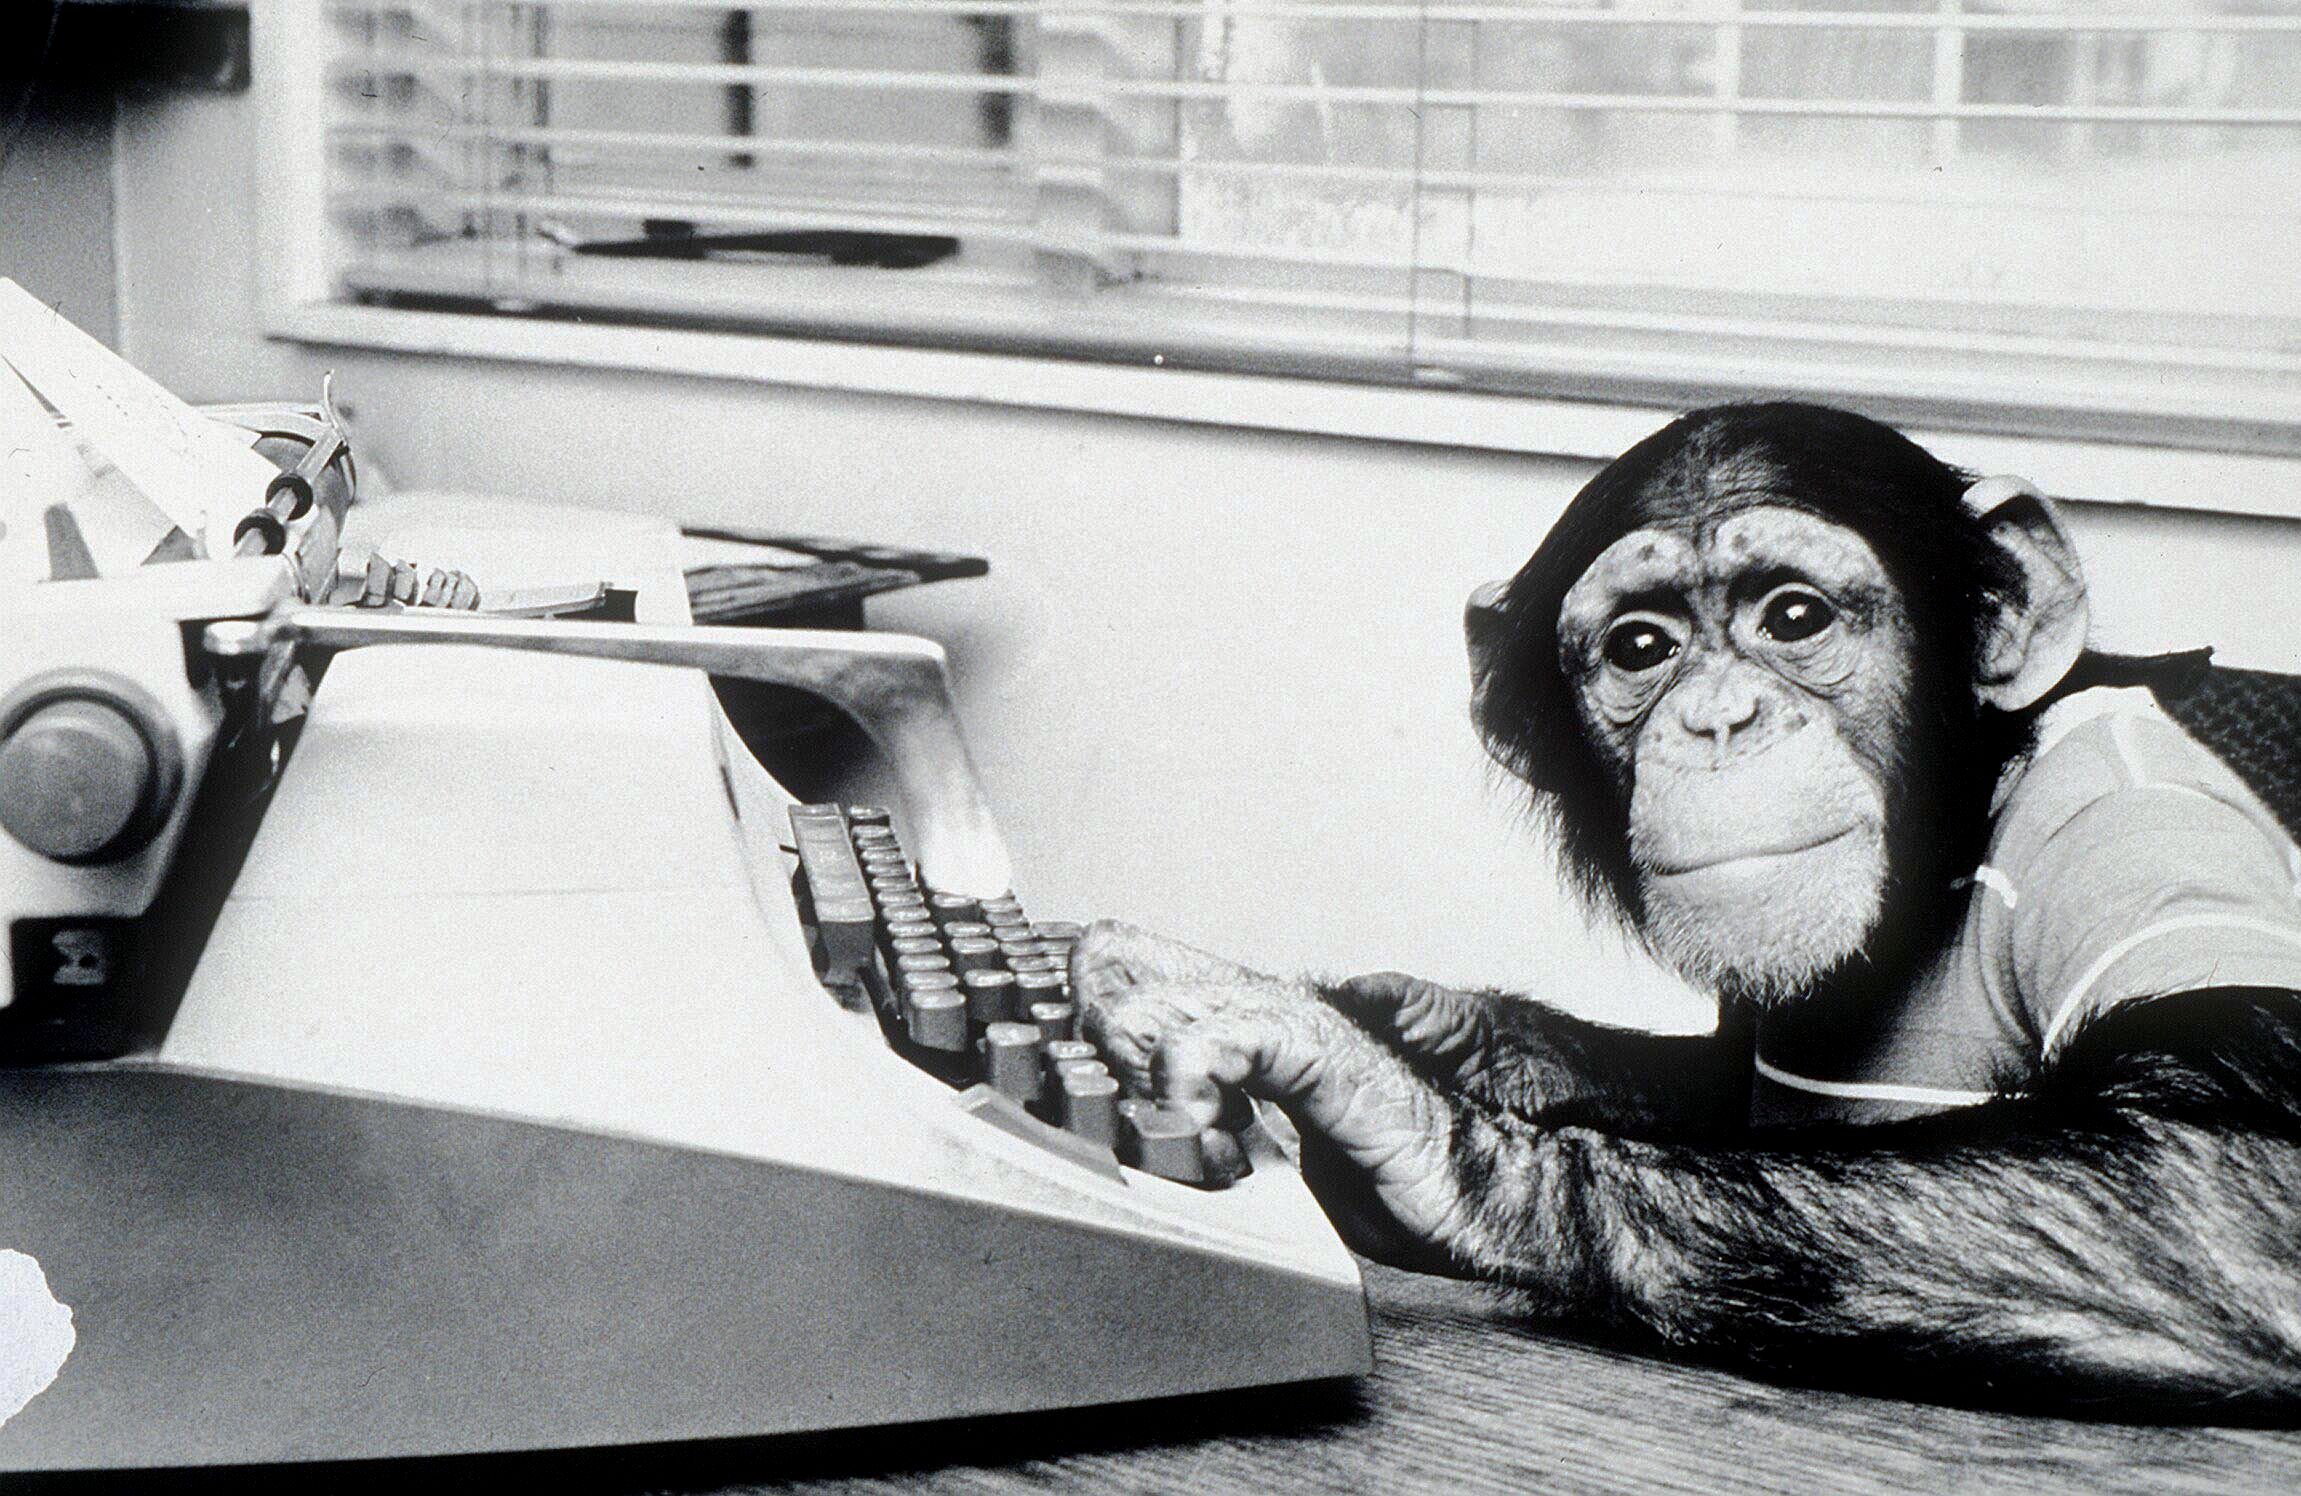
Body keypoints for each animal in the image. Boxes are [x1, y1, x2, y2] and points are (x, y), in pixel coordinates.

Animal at [1076, 402, 2301, 1417]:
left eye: (1793, 616)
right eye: (1641, 646)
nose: (1716, 716)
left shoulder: (2131, 833)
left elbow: (2214, 1175)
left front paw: (1403, 1111)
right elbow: (1704, 1083)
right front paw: (1430, 1025)